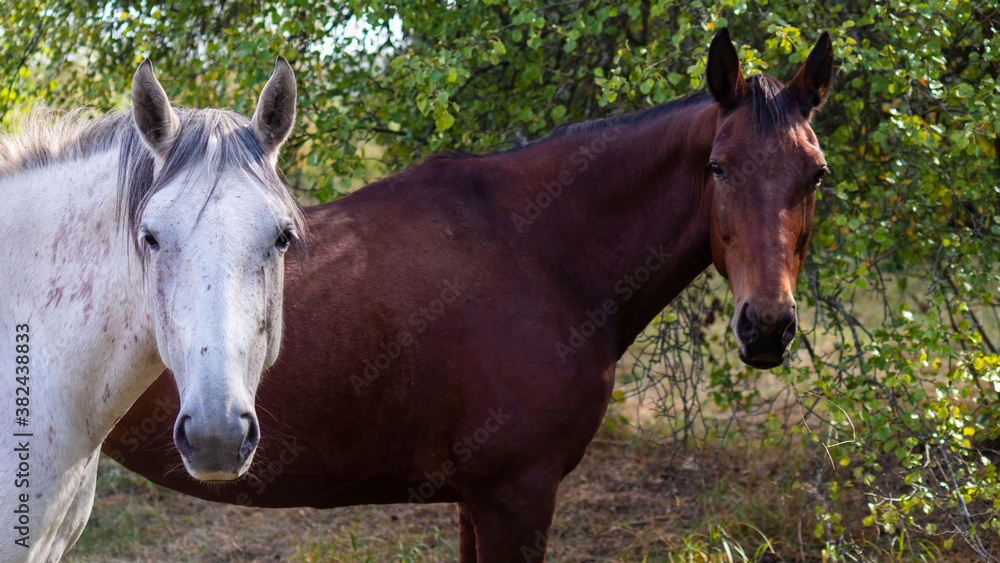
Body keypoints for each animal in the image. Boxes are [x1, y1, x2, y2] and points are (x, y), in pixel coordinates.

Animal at [104, 29, 834, 561]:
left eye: (816, 174)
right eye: (718, 167)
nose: (767, 326)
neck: (540, 253)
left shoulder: (475, 499)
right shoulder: (516, 496)